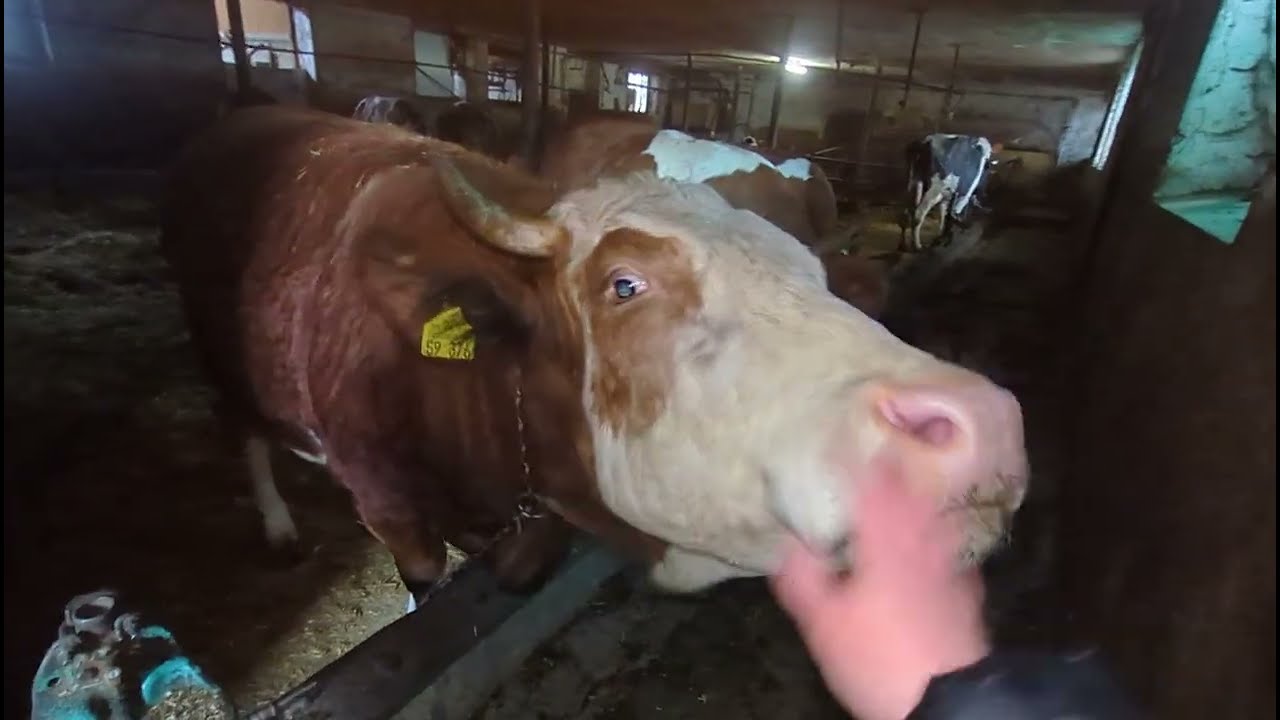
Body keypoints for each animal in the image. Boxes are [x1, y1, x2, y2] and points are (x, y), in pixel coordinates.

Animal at [161, 106, 1029, 611]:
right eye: (624, 284)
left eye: (813, 272)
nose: (983, 429)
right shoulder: (391, 508)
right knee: (240, 427)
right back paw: (278, 525)